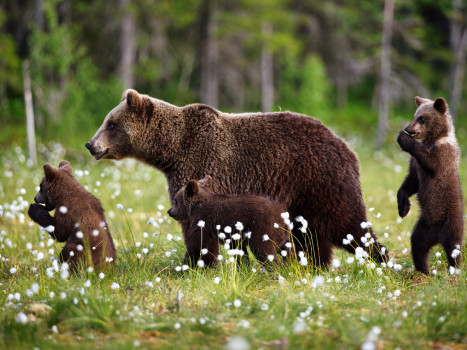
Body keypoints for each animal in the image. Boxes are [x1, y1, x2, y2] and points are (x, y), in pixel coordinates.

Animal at [86, 89, 386, 266]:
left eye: (111, 124)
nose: (91, 144)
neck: (172, 151)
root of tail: (347, 146)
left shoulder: (198, 165)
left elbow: (194, 225)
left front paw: (194, 262)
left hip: (322, 181)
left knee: (347, 224)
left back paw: (380, 259)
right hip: (302, 198)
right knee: (312, 234)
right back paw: (314, 264)